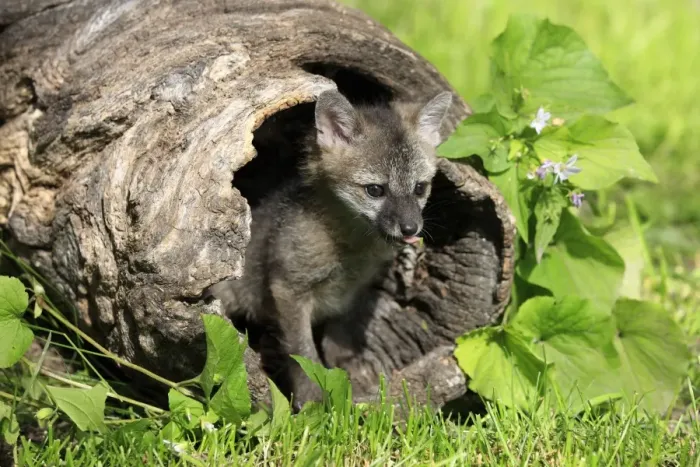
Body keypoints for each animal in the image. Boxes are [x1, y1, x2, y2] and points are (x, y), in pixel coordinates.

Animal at [209, 89, 453, 409]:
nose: (411, 228)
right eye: (375, 190)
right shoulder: (289, 290)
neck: (348, 251)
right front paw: (312, 400)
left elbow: (339, 341)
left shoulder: (352, 293)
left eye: (420, 188)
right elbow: (303, 353)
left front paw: (351, 376)